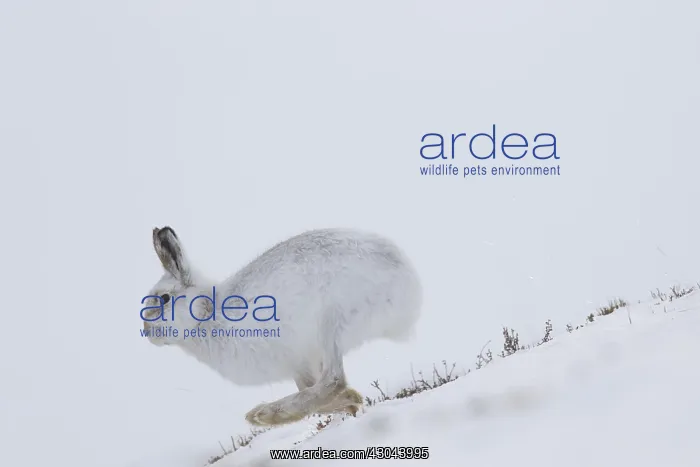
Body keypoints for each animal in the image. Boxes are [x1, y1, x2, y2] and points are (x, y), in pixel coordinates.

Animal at [141, 226, 422, 427]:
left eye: (164, 299)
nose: (147, 333)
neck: (207, 312)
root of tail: (408, 281)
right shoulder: (298, 364)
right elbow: (306, 386)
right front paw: (352, 402)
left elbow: (318, 387)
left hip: (331, 323)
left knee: (333, 379)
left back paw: (263, 415)